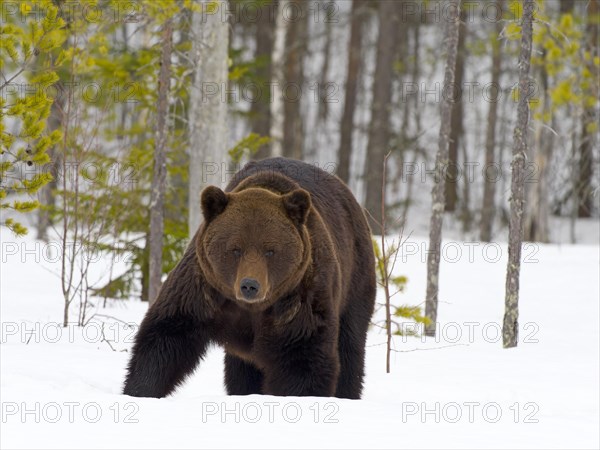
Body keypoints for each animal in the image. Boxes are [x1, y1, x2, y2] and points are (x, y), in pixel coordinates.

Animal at [122, 157, 376, 398]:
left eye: (270, 250)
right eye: (235, 249)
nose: (250, 285)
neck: (251, 309)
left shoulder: (299, 297)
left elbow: (304, 358)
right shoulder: (203, 289)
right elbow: (167, 336)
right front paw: (140, 390)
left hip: (355, 279)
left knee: (350, 346)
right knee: (240, 369)